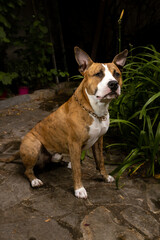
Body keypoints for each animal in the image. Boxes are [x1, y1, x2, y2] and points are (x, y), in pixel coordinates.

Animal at [3, 47, 128, 199]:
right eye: (98, 74)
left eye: (117, 74)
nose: (113, 84)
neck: (94, 111)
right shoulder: (75, 144)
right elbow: (77, 171)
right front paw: (79, 189)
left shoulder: (99, 141)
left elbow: (101, 161)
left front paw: (105, 176)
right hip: (33, 146)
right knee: (27, 170)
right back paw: (35, 180)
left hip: (57, 154)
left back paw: (67, 163)